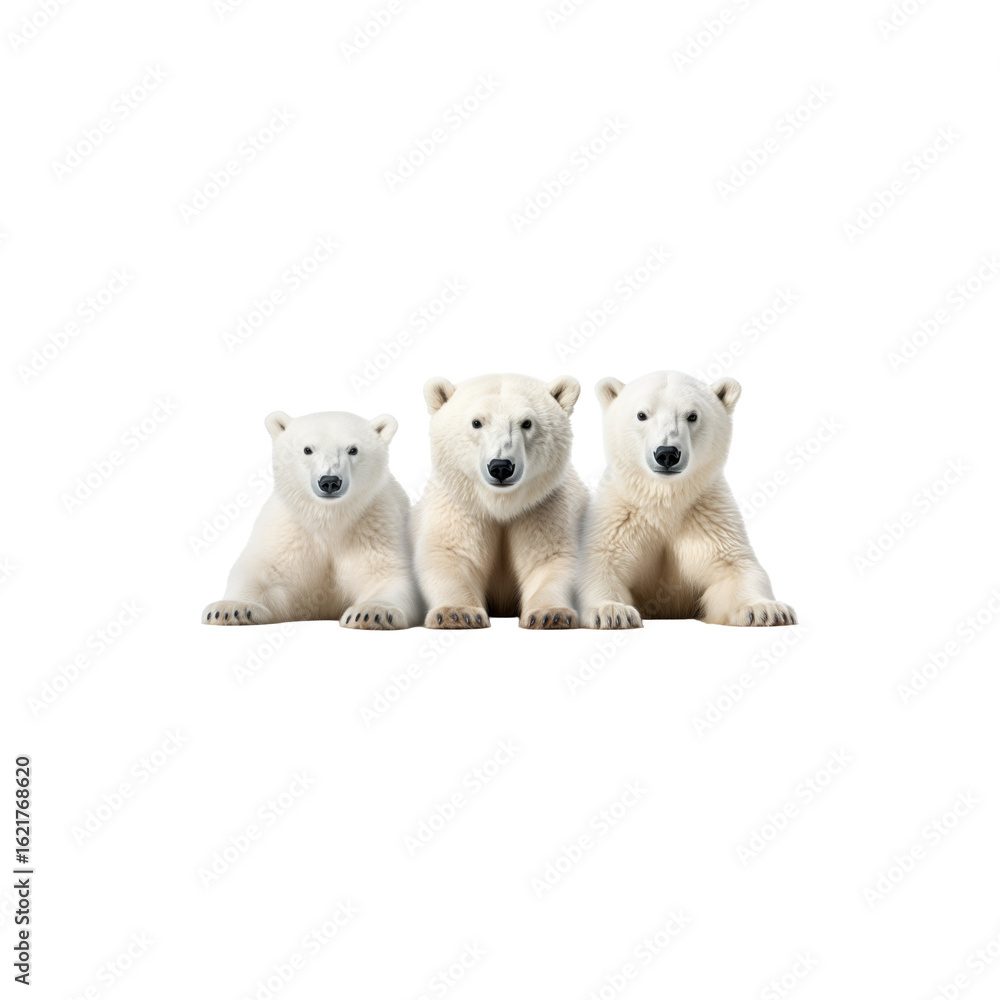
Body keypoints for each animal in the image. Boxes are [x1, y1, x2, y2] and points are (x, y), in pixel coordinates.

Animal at [202, 410, 420, 629]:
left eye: (353, 450)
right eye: (308, 449)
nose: (330, 481)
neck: (327, 518)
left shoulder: (374, 527)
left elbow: (388, 576)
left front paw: (371, 613)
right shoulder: (287, 533)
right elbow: (260, 574)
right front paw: (231, 609)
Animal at [414, 373, 588, 629]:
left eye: (527, 423)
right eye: (477, 422)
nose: (501, 467)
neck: (501, 504)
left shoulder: (544, 507)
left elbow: (551, 559)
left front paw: (550, 614)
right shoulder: (461, 506)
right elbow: (450, 557)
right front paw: (456, 614)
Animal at [577, 371, 796, 628]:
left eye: (692, 416)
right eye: (642, 415)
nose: (667, 454)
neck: (666, 500)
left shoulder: (708, 518)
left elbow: (734, 567)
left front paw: (766, 610)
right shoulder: (620, 517)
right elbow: (601, 564)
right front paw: (612, 612)